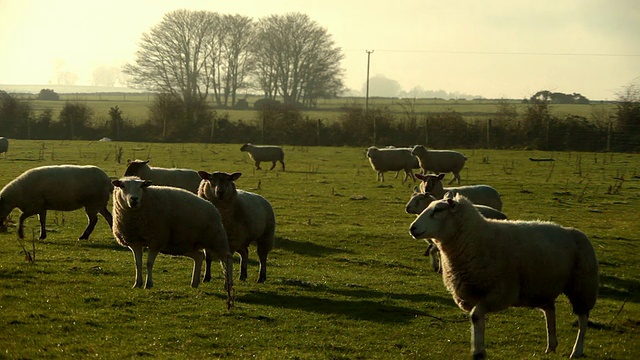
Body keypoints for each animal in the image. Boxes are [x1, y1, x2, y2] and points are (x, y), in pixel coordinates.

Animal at [410, 194, 600, 358]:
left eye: (438, 210)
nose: (412, 228)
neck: (472, 238)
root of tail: (576, 232)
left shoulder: (501, 292)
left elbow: (476, 316)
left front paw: (478, 351)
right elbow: (476, 319)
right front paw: (479, 349)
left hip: (583, 286)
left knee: (582, 319)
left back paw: (577, 350)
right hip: (543, 286)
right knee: (550, 312)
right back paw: (551, 345)